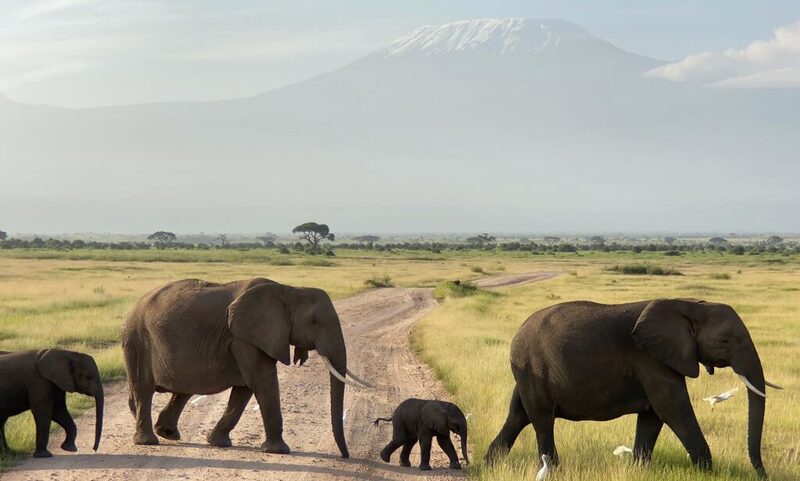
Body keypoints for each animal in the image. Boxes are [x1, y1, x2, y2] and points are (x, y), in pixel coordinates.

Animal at [121, 278, 368, 458]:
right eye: (315, 322)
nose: (345, 456)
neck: (289, 290)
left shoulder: (250, 338)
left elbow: (244, 389)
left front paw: (219, 443)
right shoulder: (245, 338)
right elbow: (261, 381)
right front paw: (279, 451)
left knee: (183, 390)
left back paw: (167, 433)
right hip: (137, 340)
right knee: (144, 387)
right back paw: (147, 441)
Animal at [485, 299, 782, 478]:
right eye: (725, 341)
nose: (763, 475)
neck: (689, 304)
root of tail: (517, 334)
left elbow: (653, 416)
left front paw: (639, 469)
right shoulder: (651, 359)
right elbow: (672, 408)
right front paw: (708, 473)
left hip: (528, 373)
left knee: (519, 415)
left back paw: (489, 464)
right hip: (533, 368)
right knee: (542, 419)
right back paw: (554, 471)